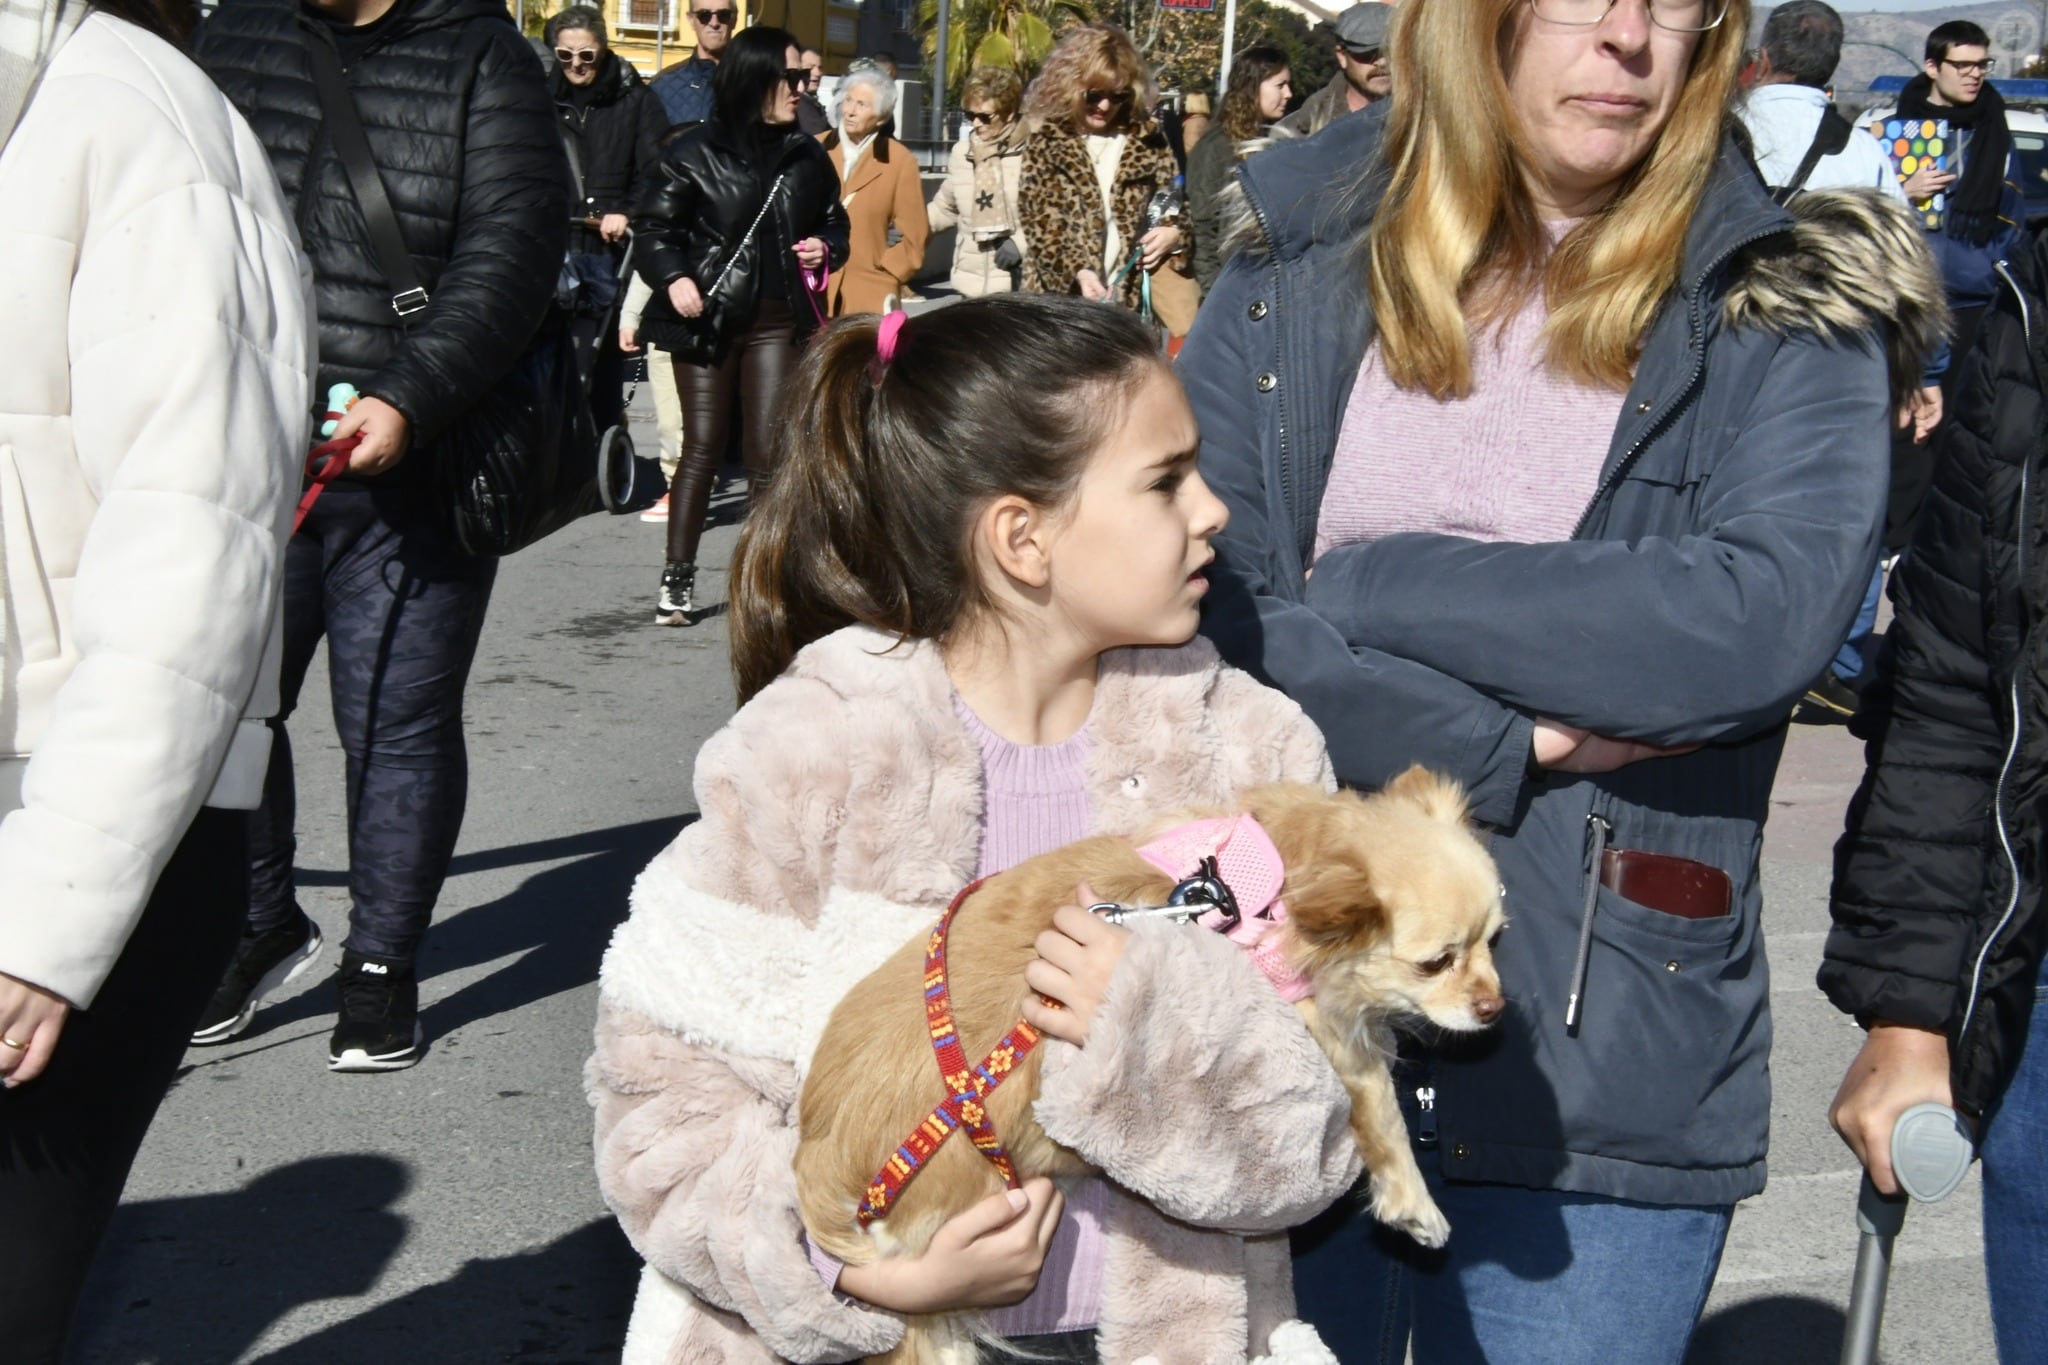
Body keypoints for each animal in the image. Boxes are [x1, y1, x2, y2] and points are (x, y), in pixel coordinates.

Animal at [794, 769, 1507, 1358]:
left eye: (1494, 941)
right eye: (1436, 962)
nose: (1497, 1007)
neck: (1267, 892)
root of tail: (826, 1177)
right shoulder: (1310, 1022)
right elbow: (1378, 1102)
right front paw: (1414, 1201)